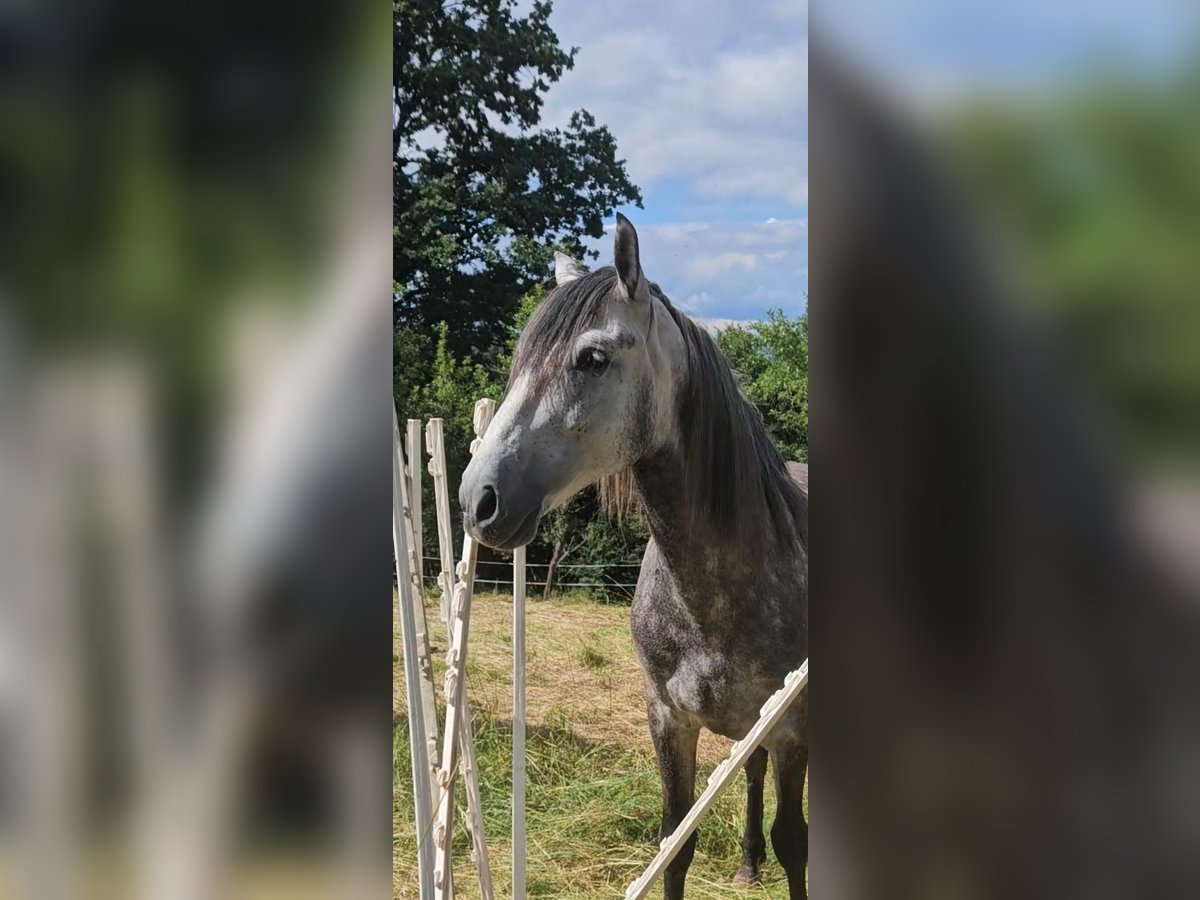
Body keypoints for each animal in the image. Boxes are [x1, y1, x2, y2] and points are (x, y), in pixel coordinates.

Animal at [463, 218, 811, 900]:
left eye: (592, 358)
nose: (477, 499)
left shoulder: (791, 725)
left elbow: (795, 843)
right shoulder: (667, 720)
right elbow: (675, 845)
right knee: (750, 771)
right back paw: (746, 862)